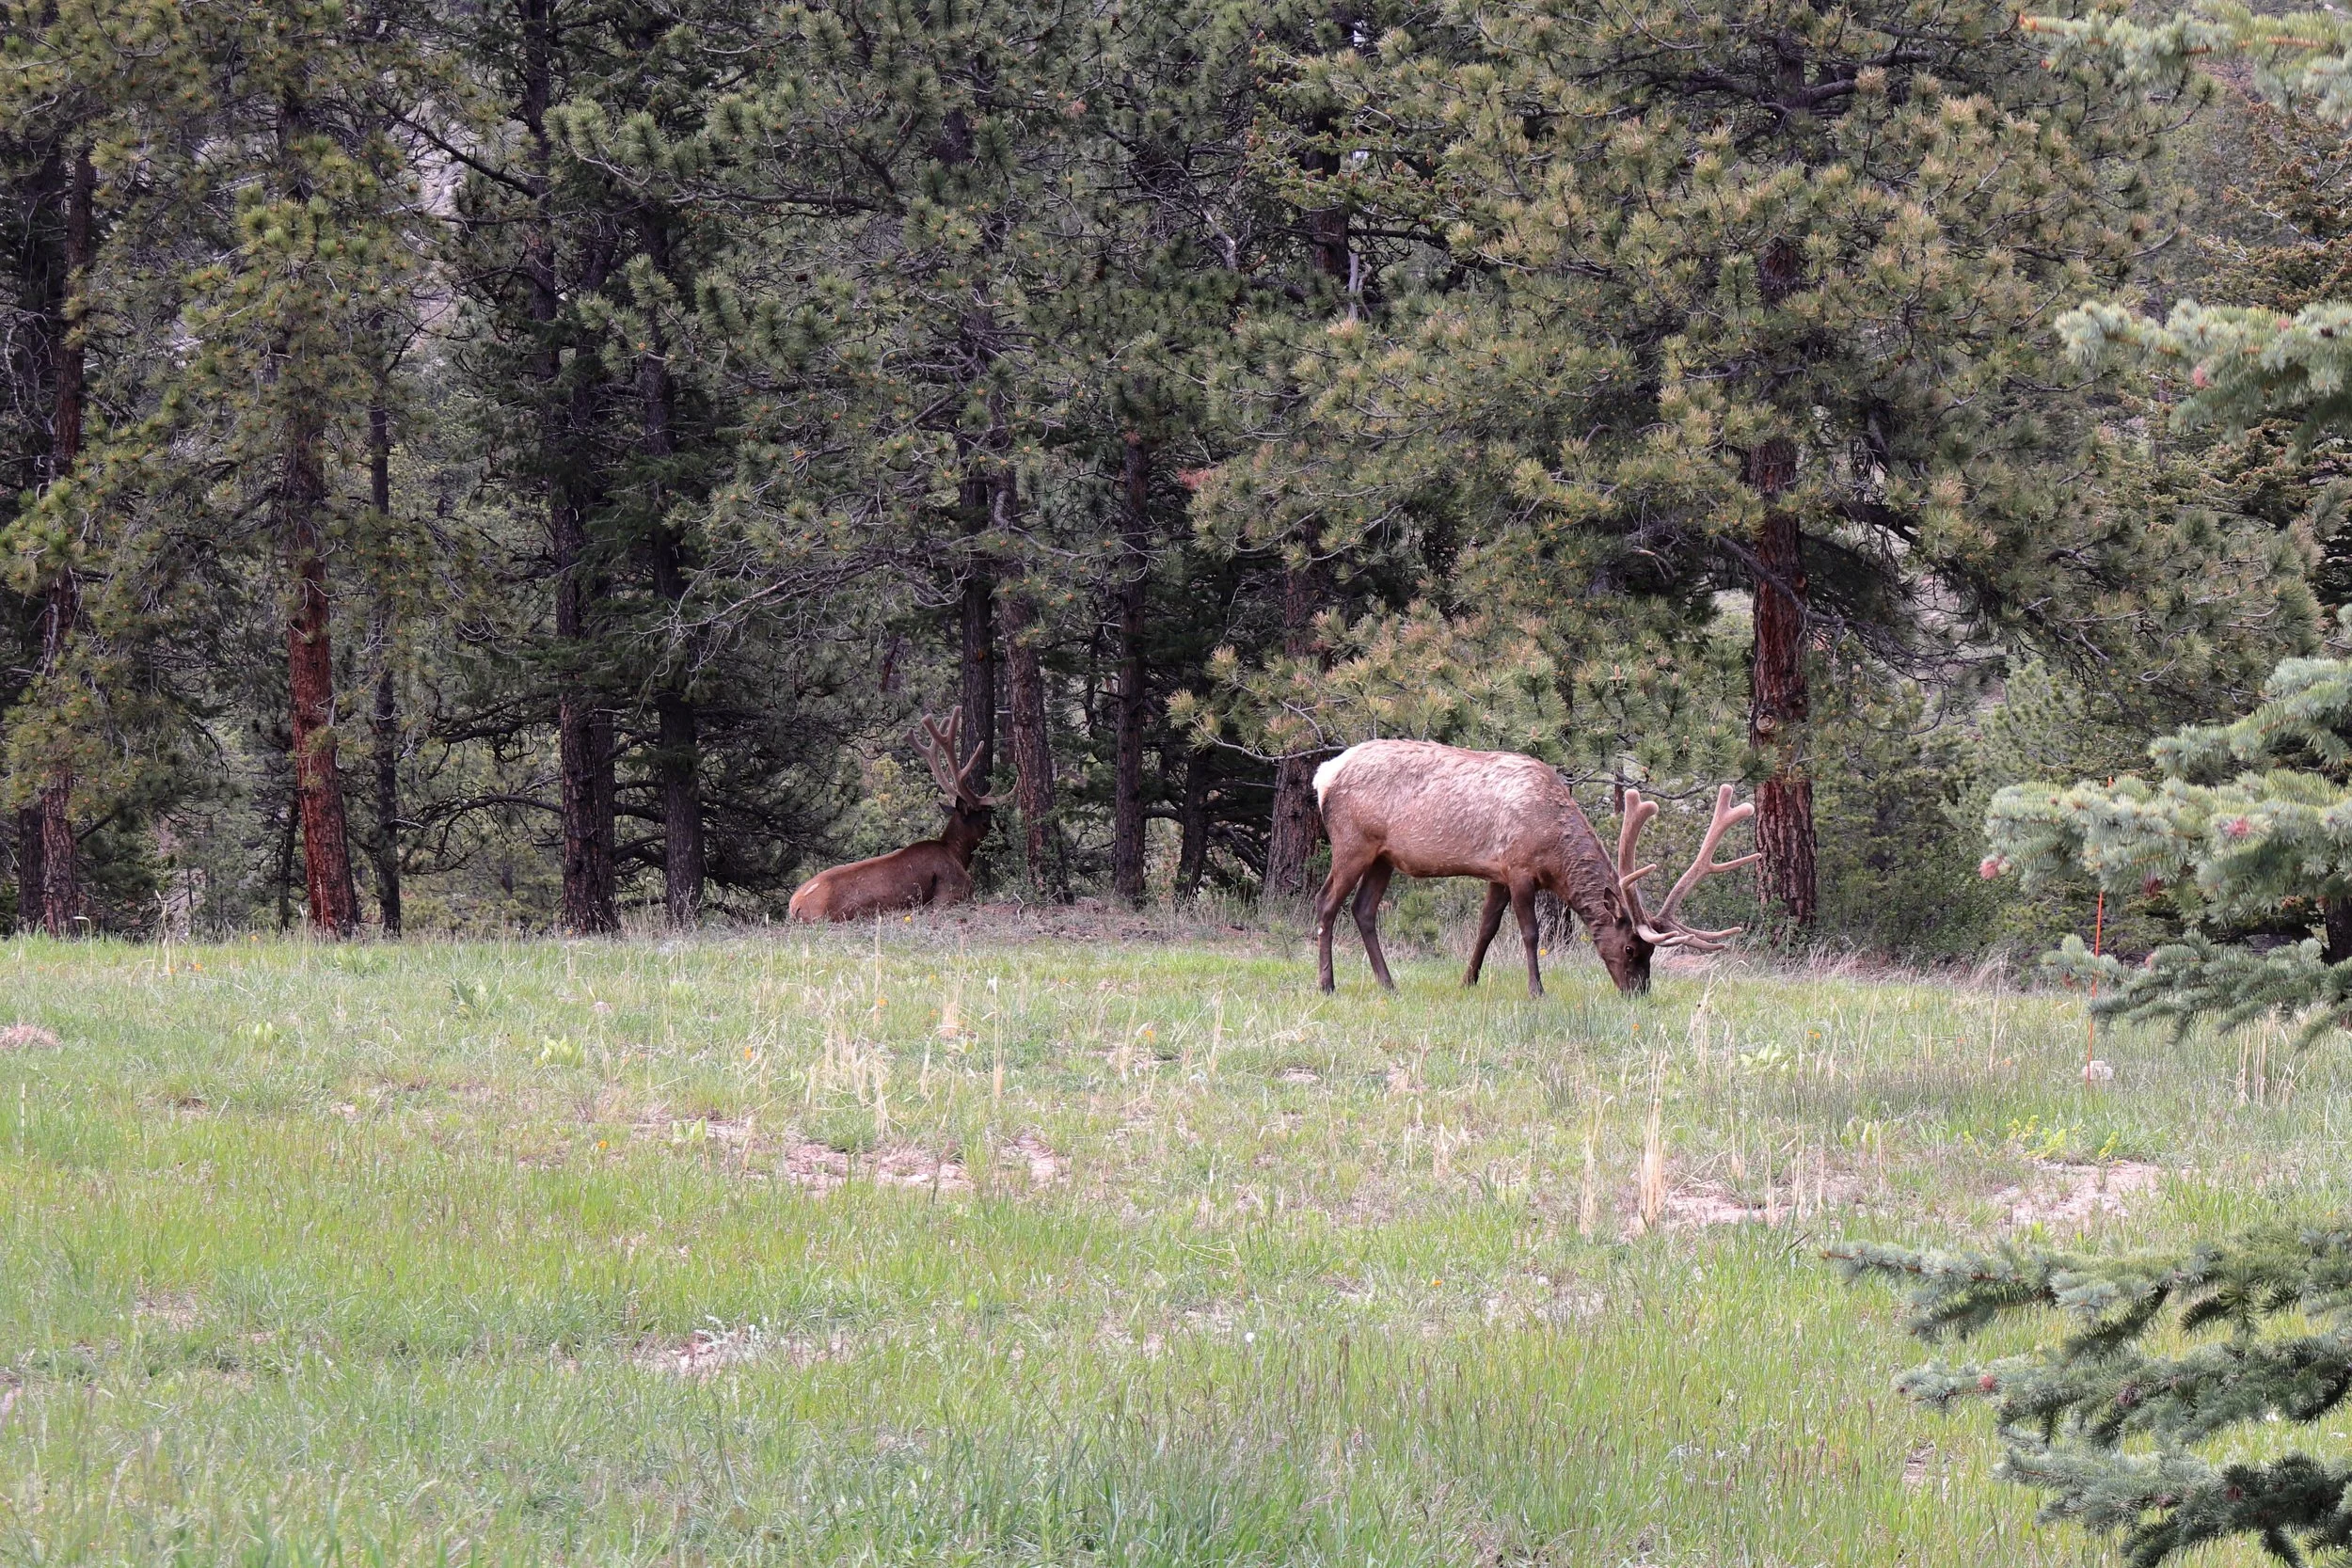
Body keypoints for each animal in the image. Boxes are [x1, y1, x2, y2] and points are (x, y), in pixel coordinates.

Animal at [1310, 739, 1759, 997]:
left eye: (1649, 951)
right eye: (1631, 948)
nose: (1639, 993)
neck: (1553, 853)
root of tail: (1323, 775)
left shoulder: (1496, 873)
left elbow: (1486, 928)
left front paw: (1468, 981)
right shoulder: (1519, 868)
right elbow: (1529, 933)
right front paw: (1536, 990)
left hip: (1383, 856)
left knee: (1363, 910)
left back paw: (1389, 984)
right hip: (1352, 842)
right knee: (1326, 902)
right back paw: (1328, 984)